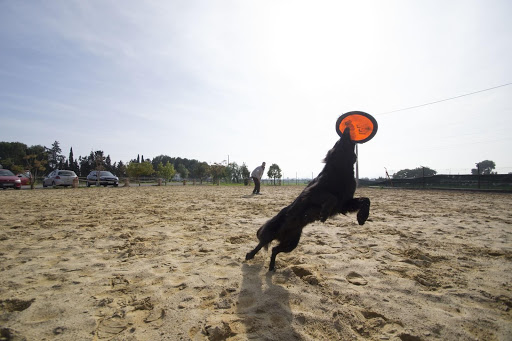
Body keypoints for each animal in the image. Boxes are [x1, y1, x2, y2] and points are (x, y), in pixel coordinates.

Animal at [246, 127, 370, 270]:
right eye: (339, 141)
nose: (347, 128)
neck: (340, 170)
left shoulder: (344, 203)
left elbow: (366, 200)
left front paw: (362, 217)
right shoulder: (313, 194)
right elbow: (331, 197)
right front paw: (324, 214)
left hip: (292, 242)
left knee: (274, 249)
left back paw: (272, 267)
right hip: (274, 231)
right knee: (262, 243)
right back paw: (250, 255)